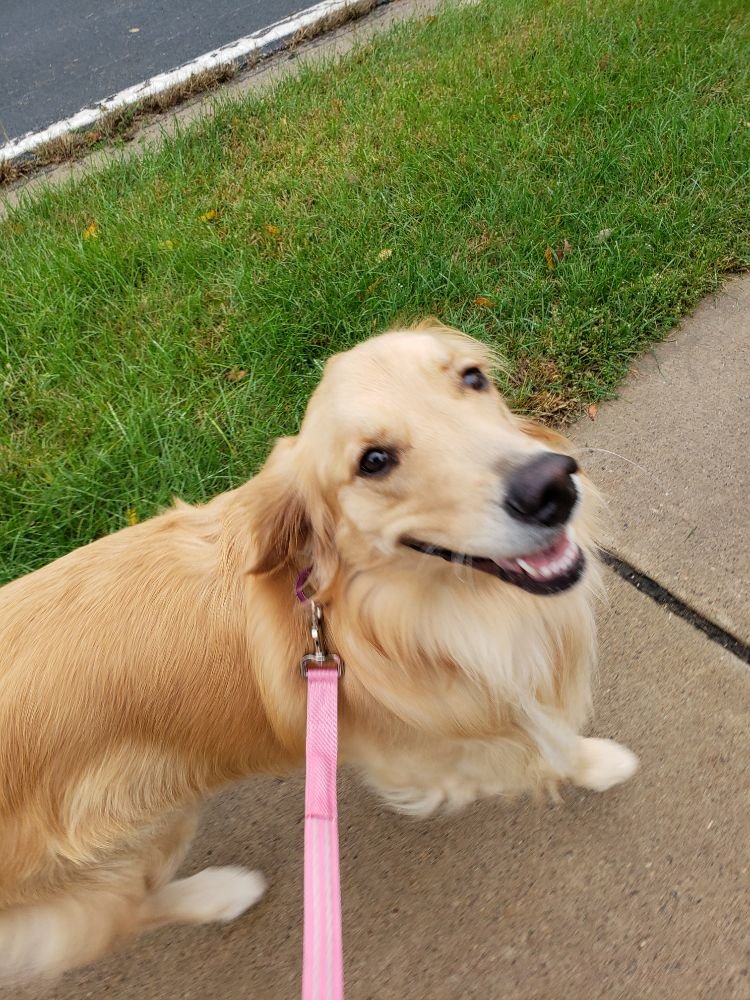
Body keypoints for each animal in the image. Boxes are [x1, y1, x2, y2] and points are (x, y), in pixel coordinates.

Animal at [0, 321, 638, 983]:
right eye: (373, 461)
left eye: (472, 377)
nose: (552, 485)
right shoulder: (426, 754)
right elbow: (540, 747)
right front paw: (596, 764)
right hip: (131, 832)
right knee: (123, 914)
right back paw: (221, 893)